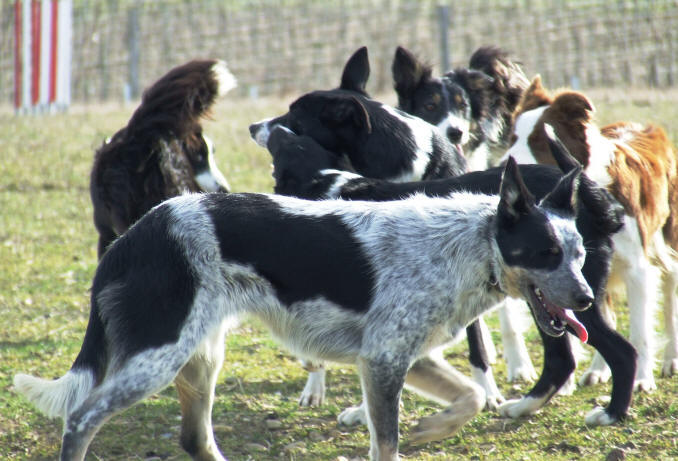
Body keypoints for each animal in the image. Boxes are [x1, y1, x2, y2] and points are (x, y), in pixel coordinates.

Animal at [13, 156, 592, 458]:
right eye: (547, 253)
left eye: (581, 254)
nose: (587, 298)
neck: (470, 246)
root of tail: (132, 237)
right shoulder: (383, 362)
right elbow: (388, 441)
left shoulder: (401, 358)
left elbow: (470, 397)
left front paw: (432, 428)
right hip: (159, 357)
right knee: (80, 419)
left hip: (200, 359)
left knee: (194, 438)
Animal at [266, 124, 636, 426]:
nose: (266, 128)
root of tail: (591, 197)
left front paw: (359, 411)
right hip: (552, 300)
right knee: (564, 359)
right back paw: (523, 408)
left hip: (564, 295)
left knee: (618, 352)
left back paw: (610, 413)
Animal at [504, 76, 678, 392]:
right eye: (512, 138)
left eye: (537, 142)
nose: (500, 168)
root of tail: (647, 127)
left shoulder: (637, 268)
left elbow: (640, 329)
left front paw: (641, 378)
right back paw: (598, 371)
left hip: (668, 242)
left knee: (670, 299)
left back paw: (671, 359)